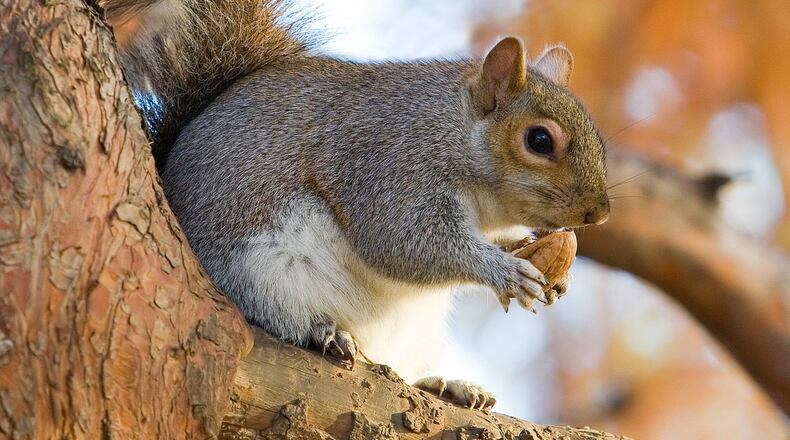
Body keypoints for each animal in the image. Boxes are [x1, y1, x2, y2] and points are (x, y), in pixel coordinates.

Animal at [104, 0, 609, 409]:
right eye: (539, 140)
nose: (599, 213)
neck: (452, 131)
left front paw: (544, 265)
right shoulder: (387, 167)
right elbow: (402, 242)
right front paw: (504, 271)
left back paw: (446, 385)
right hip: (258, 272)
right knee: (274, 314)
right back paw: (324, 331)